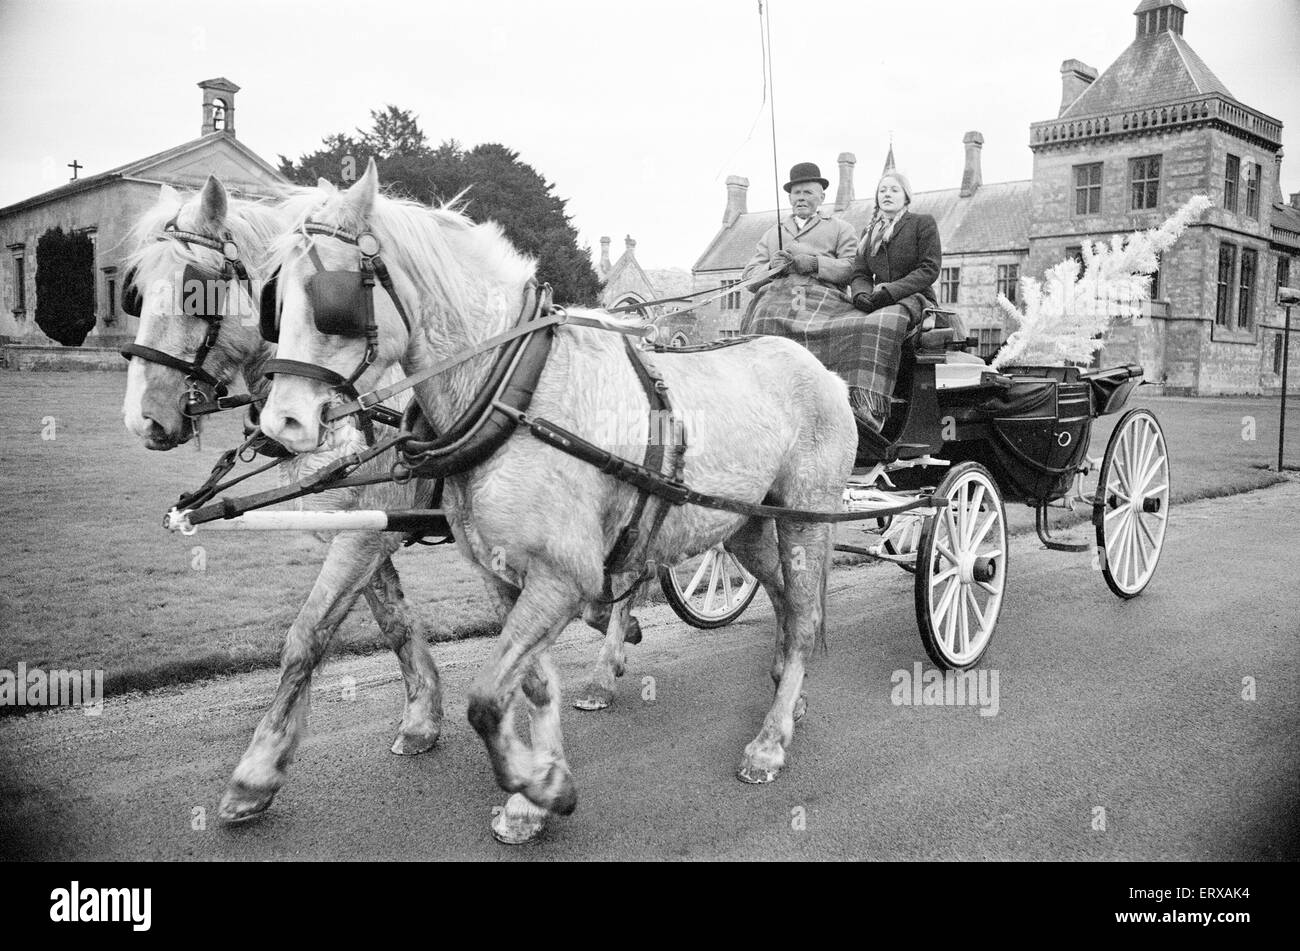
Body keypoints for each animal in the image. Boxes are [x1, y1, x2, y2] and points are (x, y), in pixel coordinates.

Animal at [122, 176, 447, 826]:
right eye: (136, 291)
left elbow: (306, 638)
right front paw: (422, 720)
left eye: (197, 291)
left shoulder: (364, 535)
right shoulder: (367, 531)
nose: (141, 417)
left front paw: (257, 773)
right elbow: (396, 624)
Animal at [258, 159, 857, 841]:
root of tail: (821, 370)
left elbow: (487, 698)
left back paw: (770, 741)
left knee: (804, 615)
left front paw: (541, 787)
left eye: (328, 298)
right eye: (273, 299)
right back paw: (788, 692)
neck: (515, 391)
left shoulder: (563, 576)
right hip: (745, 526)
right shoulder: (506, 575)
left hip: (807, 518)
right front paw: (530, 799)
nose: (280, 424)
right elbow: (532, 686)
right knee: (785, 600)